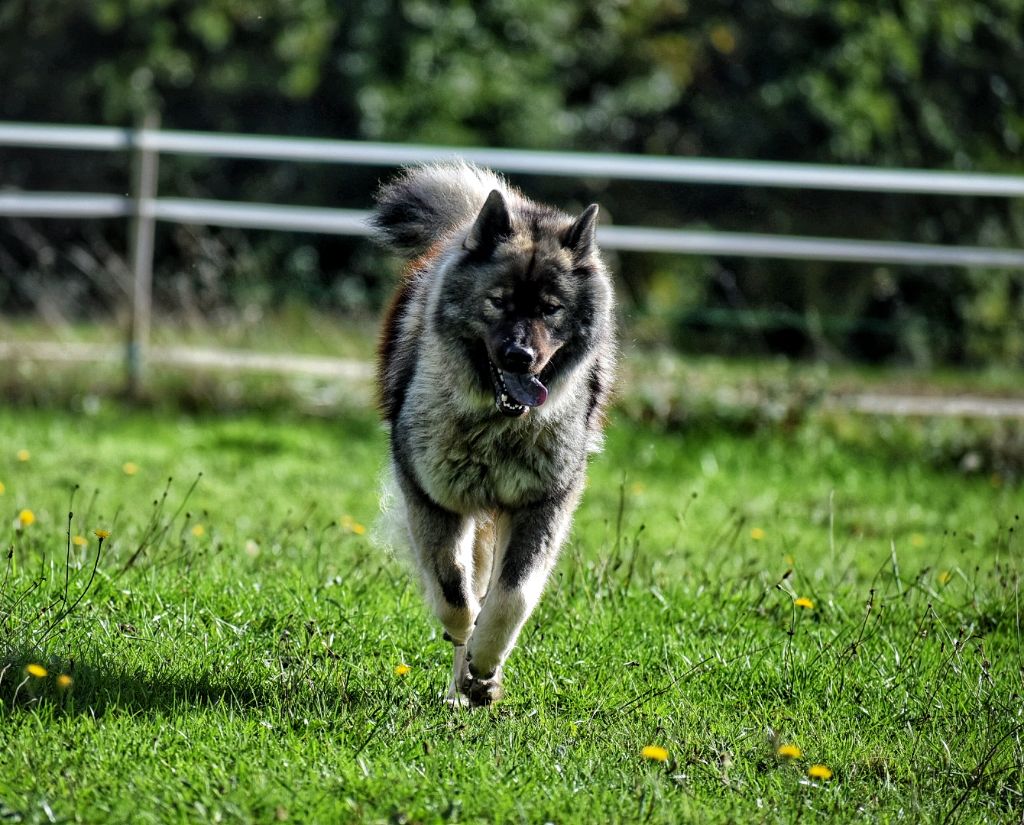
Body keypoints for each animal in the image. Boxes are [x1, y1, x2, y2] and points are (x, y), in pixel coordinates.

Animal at [376, 162, 614, 712]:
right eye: (498, 302)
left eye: (550, 309)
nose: (519, 357)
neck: (499, 425)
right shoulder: (435, 499)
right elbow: (454, 591)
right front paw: (465, 646)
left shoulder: (540, 504)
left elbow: (511, 596)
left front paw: (486, 664)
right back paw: (457, 688)